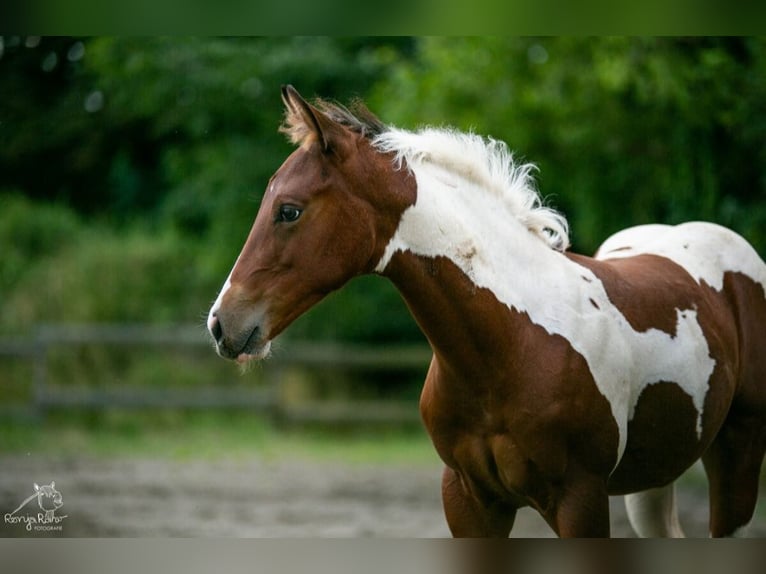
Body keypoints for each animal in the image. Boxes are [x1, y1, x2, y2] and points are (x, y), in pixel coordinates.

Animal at [208, 86, 766, 540]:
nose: (221, 324)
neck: (511, 343)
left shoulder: (579, 500)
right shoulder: (469, 499)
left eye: (289, 210)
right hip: (654, 476)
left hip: (737, 450)